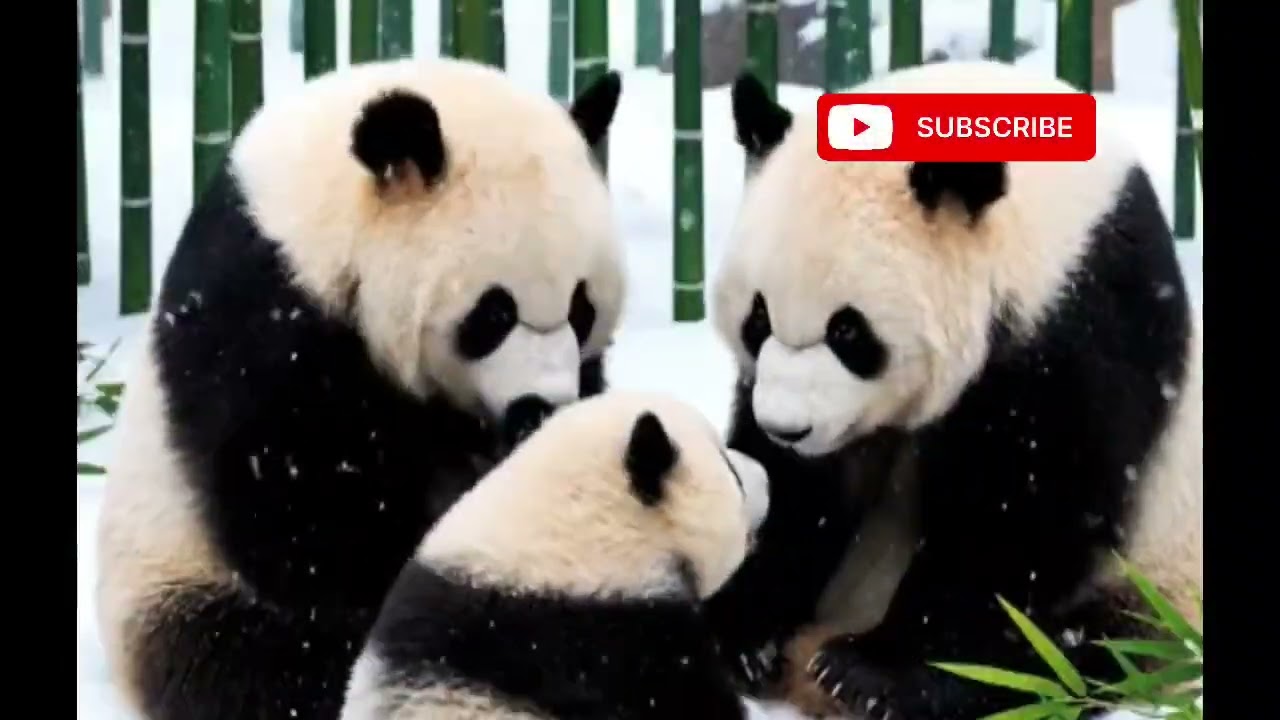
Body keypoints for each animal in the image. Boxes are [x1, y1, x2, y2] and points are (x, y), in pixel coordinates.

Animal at [95, 57, 626, 720]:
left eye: (582, 309)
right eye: (494, 314)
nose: (541, 408)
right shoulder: (262, 317)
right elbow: (302, 513)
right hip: (173, 582)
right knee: (259, 661)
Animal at [703, 60, 1202, 720]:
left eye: (847, 331)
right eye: (757, 319)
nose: (788, 428)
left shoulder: (1081, 321)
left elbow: (1018, 517)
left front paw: (872, 673)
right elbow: (799, 490)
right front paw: (741, 635)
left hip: (1164, 585)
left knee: (1094, 651)